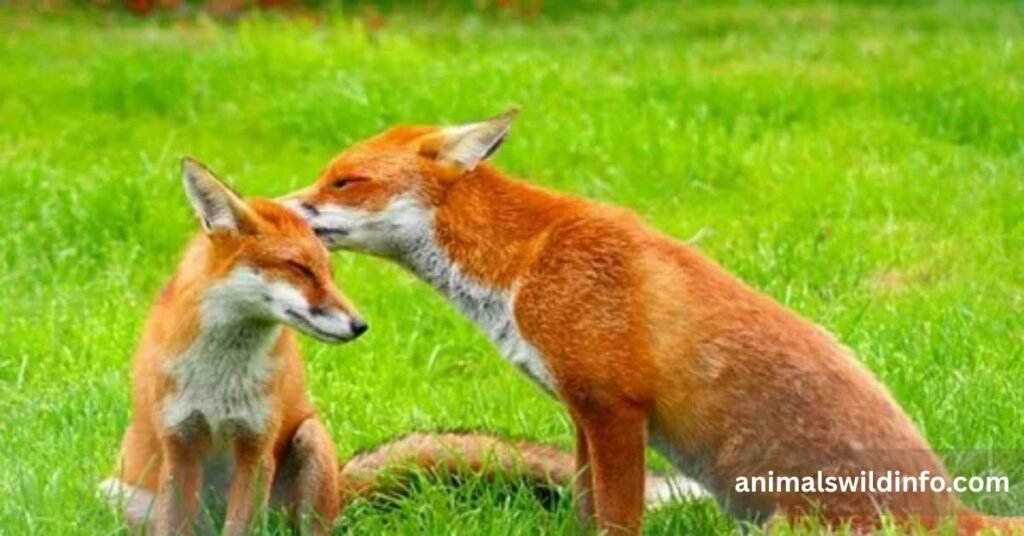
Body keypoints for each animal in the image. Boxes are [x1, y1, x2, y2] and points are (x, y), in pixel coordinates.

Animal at [100, 158, 368, 535]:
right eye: (300, 268)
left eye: (329, 274)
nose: (360, 326)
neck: (219, 377)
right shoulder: (179, 444)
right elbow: (172, 524)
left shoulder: (255, 448)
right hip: (114, 492)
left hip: (311, 440)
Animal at [284, 109, 1023, 534]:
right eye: (325, 177)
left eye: (344, 181)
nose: (278, 206)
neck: (524, 262)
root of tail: (953, 513)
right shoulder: (581, 411)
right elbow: (585, 512)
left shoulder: (616, 409)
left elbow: (618, 520)